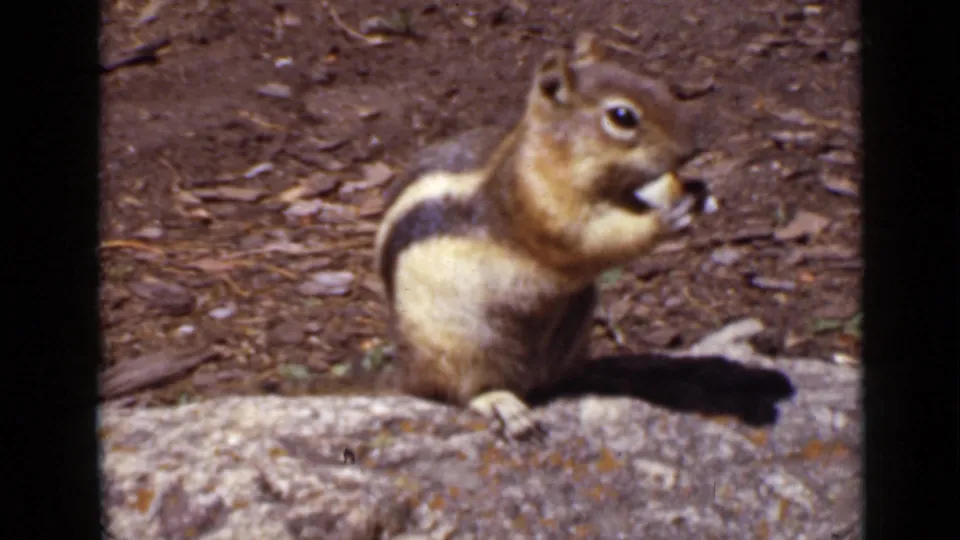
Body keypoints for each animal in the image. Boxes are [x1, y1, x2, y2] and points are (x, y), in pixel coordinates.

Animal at [366, 32, 717, 439]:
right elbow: (593, 239)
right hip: (456, 344)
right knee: (457, 390)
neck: (554, 158)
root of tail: (406, 373)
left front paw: (697, 190)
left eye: (658, 85)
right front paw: (667, 216)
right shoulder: (541, 207)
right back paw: (501, 404)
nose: (694, 148)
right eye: (622, 116)